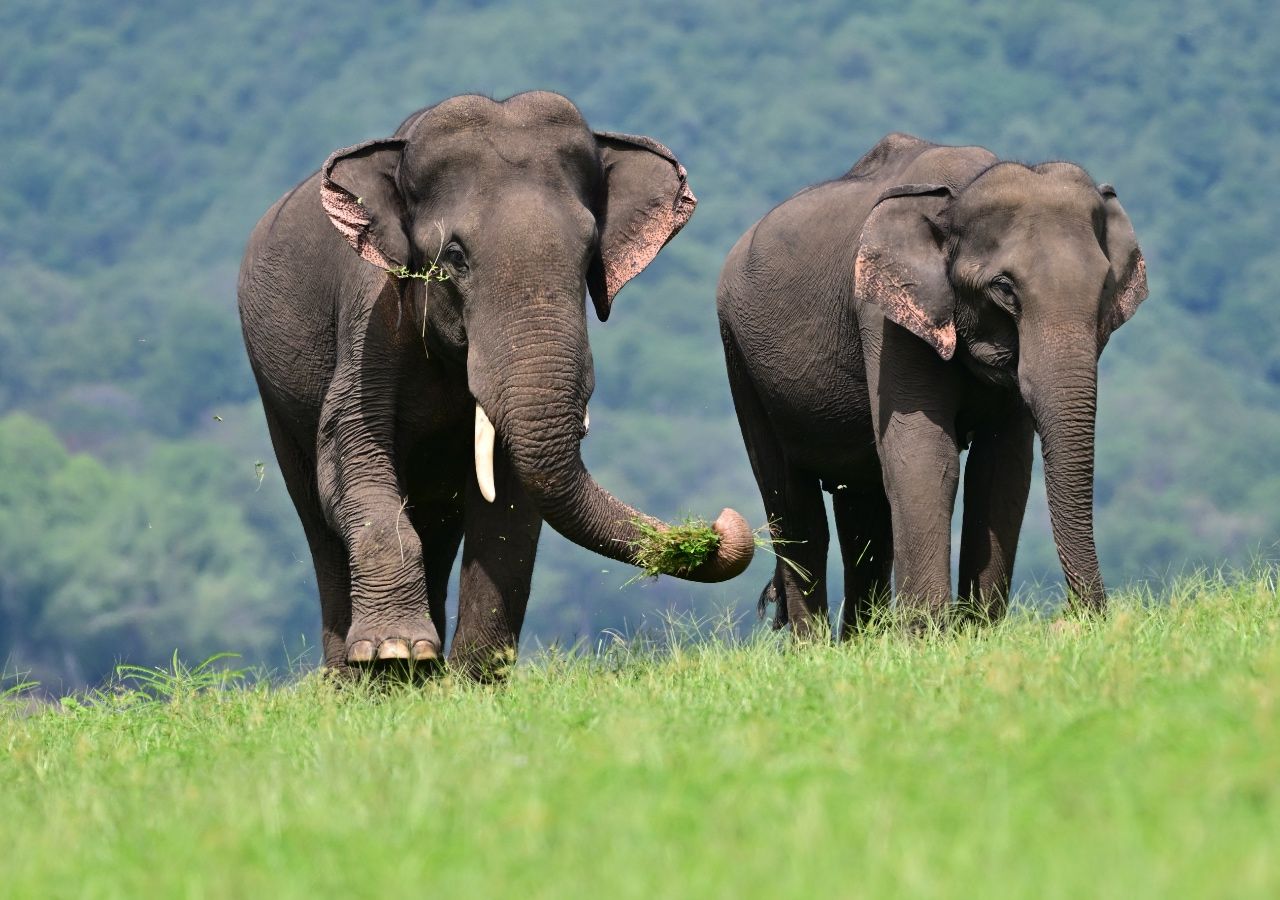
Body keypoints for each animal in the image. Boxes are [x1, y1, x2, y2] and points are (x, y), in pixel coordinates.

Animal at [239, 93, 747, 681]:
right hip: (274, 395)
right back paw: (357, 681)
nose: (723, 525)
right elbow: (352, 454)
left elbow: (510, 499)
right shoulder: (371, 316)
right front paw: (395, 653)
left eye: (589, 252)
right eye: (455, 257)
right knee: (317, 518)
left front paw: (470, 681)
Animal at [721, 135, 1152, 640]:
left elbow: (1002, 468)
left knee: (862, 509)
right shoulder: (886, 320)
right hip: (740, 358)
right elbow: (926, 456)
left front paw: (976, 633)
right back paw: (814, 648)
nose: (1081, 619)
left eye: (1104, 286)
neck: (960, 191)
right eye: (1005, 289)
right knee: (794, 508)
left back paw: (860, 642)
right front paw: (928, 639)